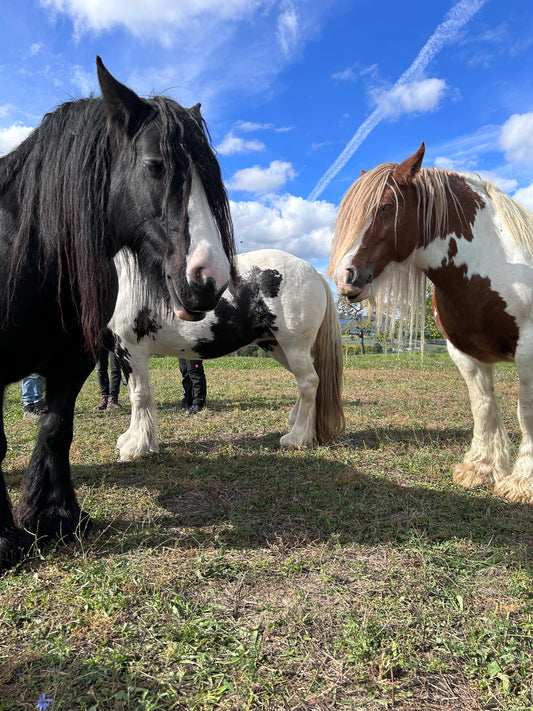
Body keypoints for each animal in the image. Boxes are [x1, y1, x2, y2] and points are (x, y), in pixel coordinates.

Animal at [0, 57, 235, 570]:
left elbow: (56, 431)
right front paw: (16, 534)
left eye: (210, 177)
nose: (211, 279)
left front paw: (56, 519)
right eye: (155, 166)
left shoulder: (75, 363)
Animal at [108, 248, 345, 460]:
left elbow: (139, 395)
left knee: (309, 382)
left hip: (294, 346)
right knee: (311, 382)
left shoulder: (131, 349)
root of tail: (313, 272)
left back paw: (296, 438)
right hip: (277, 347)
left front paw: (136, 447)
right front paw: (130, 439)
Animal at [329, 142, 533, 504]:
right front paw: (481, 470)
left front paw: (522, 482)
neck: (495, 262)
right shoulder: (466, 353)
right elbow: (483, 407)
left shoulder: (529, 350)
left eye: (386, 207)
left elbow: (527, 414)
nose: (345, 277)